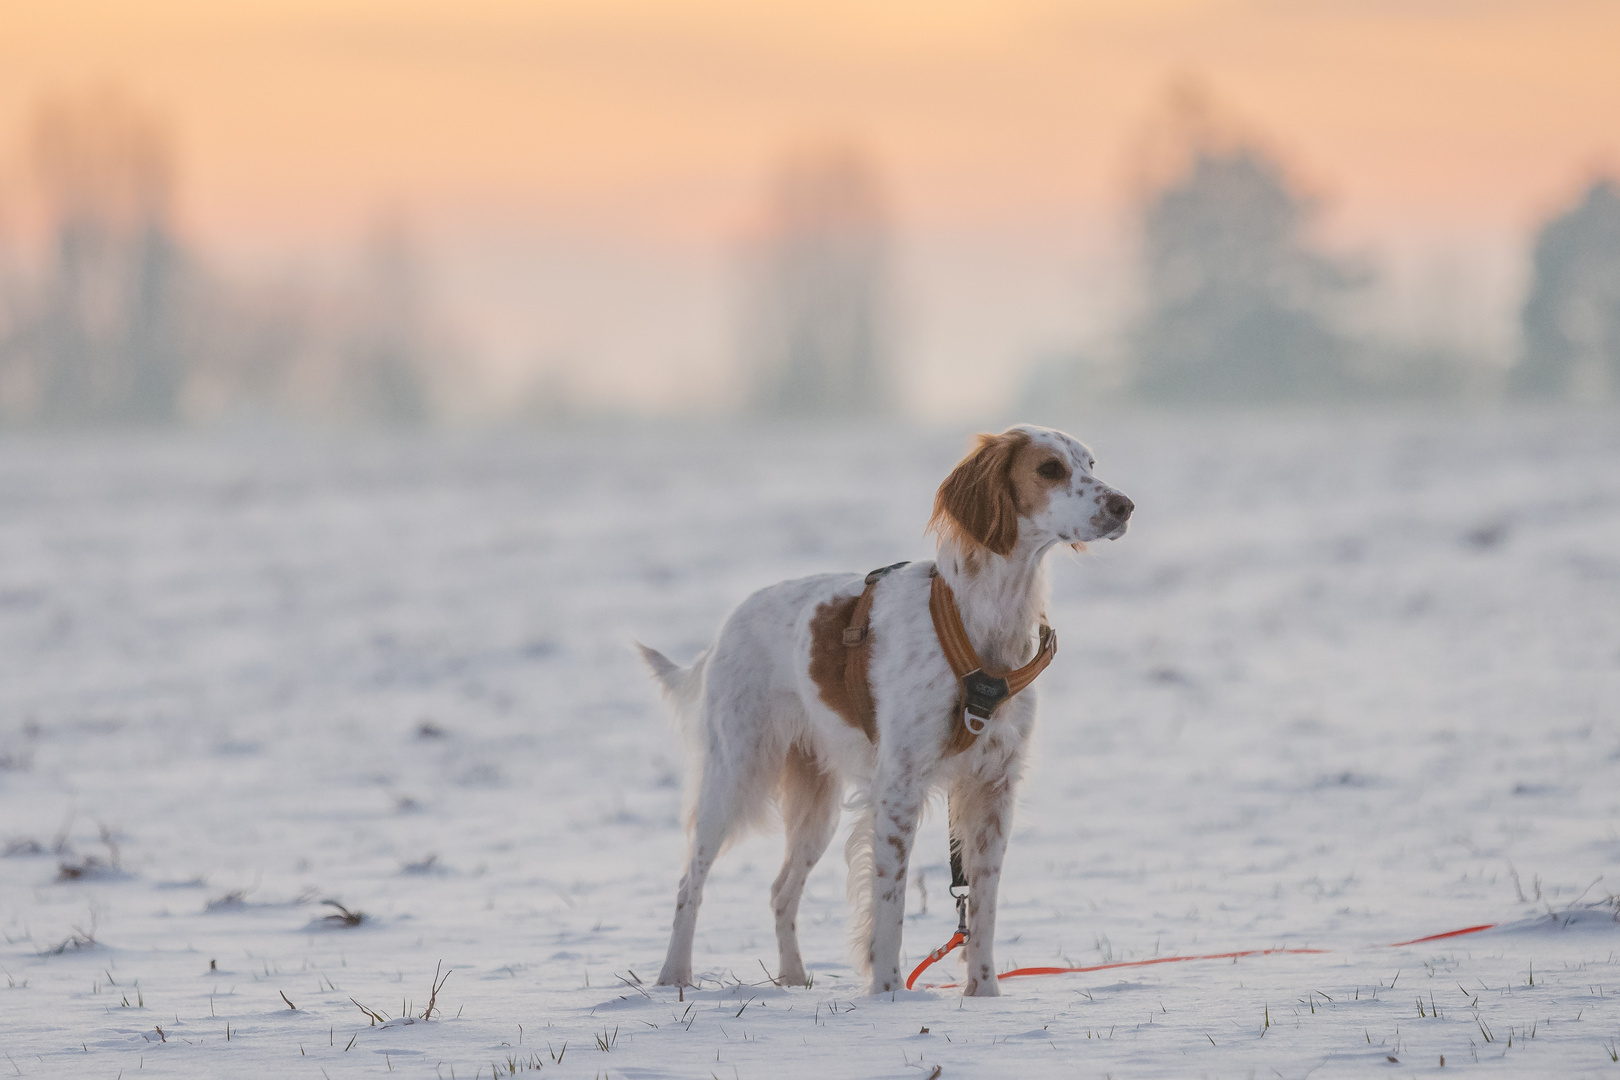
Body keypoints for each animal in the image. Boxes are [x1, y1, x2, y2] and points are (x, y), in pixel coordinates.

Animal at [638, 424, 1134, 997]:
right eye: (1050, 469)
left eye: (1091, 463)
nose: (1125, 505)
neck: (985, 624)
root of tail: (724, 630)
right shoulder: (898, 787)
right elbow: (890, 906)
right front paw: (890, 994)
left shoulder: (994, 788)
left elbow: (982, 909)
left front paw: (984, 995)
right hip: (735, 775)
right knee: (689, 882)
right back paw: (673, 977)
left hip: (817, 807)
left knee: (781, 889)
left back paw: (793, 978)